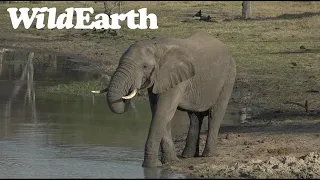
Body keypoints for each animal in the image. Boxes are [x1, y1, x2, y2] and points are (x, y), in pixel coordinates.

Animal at [91, 31, 236, 168]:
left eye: (145, 67)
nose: (130, 90)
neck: (156, 46)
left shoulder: (175, 79)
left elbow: (163, 113)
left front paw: (151, 166)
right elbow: (158, 113)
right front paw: (169, 162)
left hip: (229, 77)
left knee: (215, 115)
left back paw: (208, 155)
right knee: (195, 117)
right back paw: (187, 156)